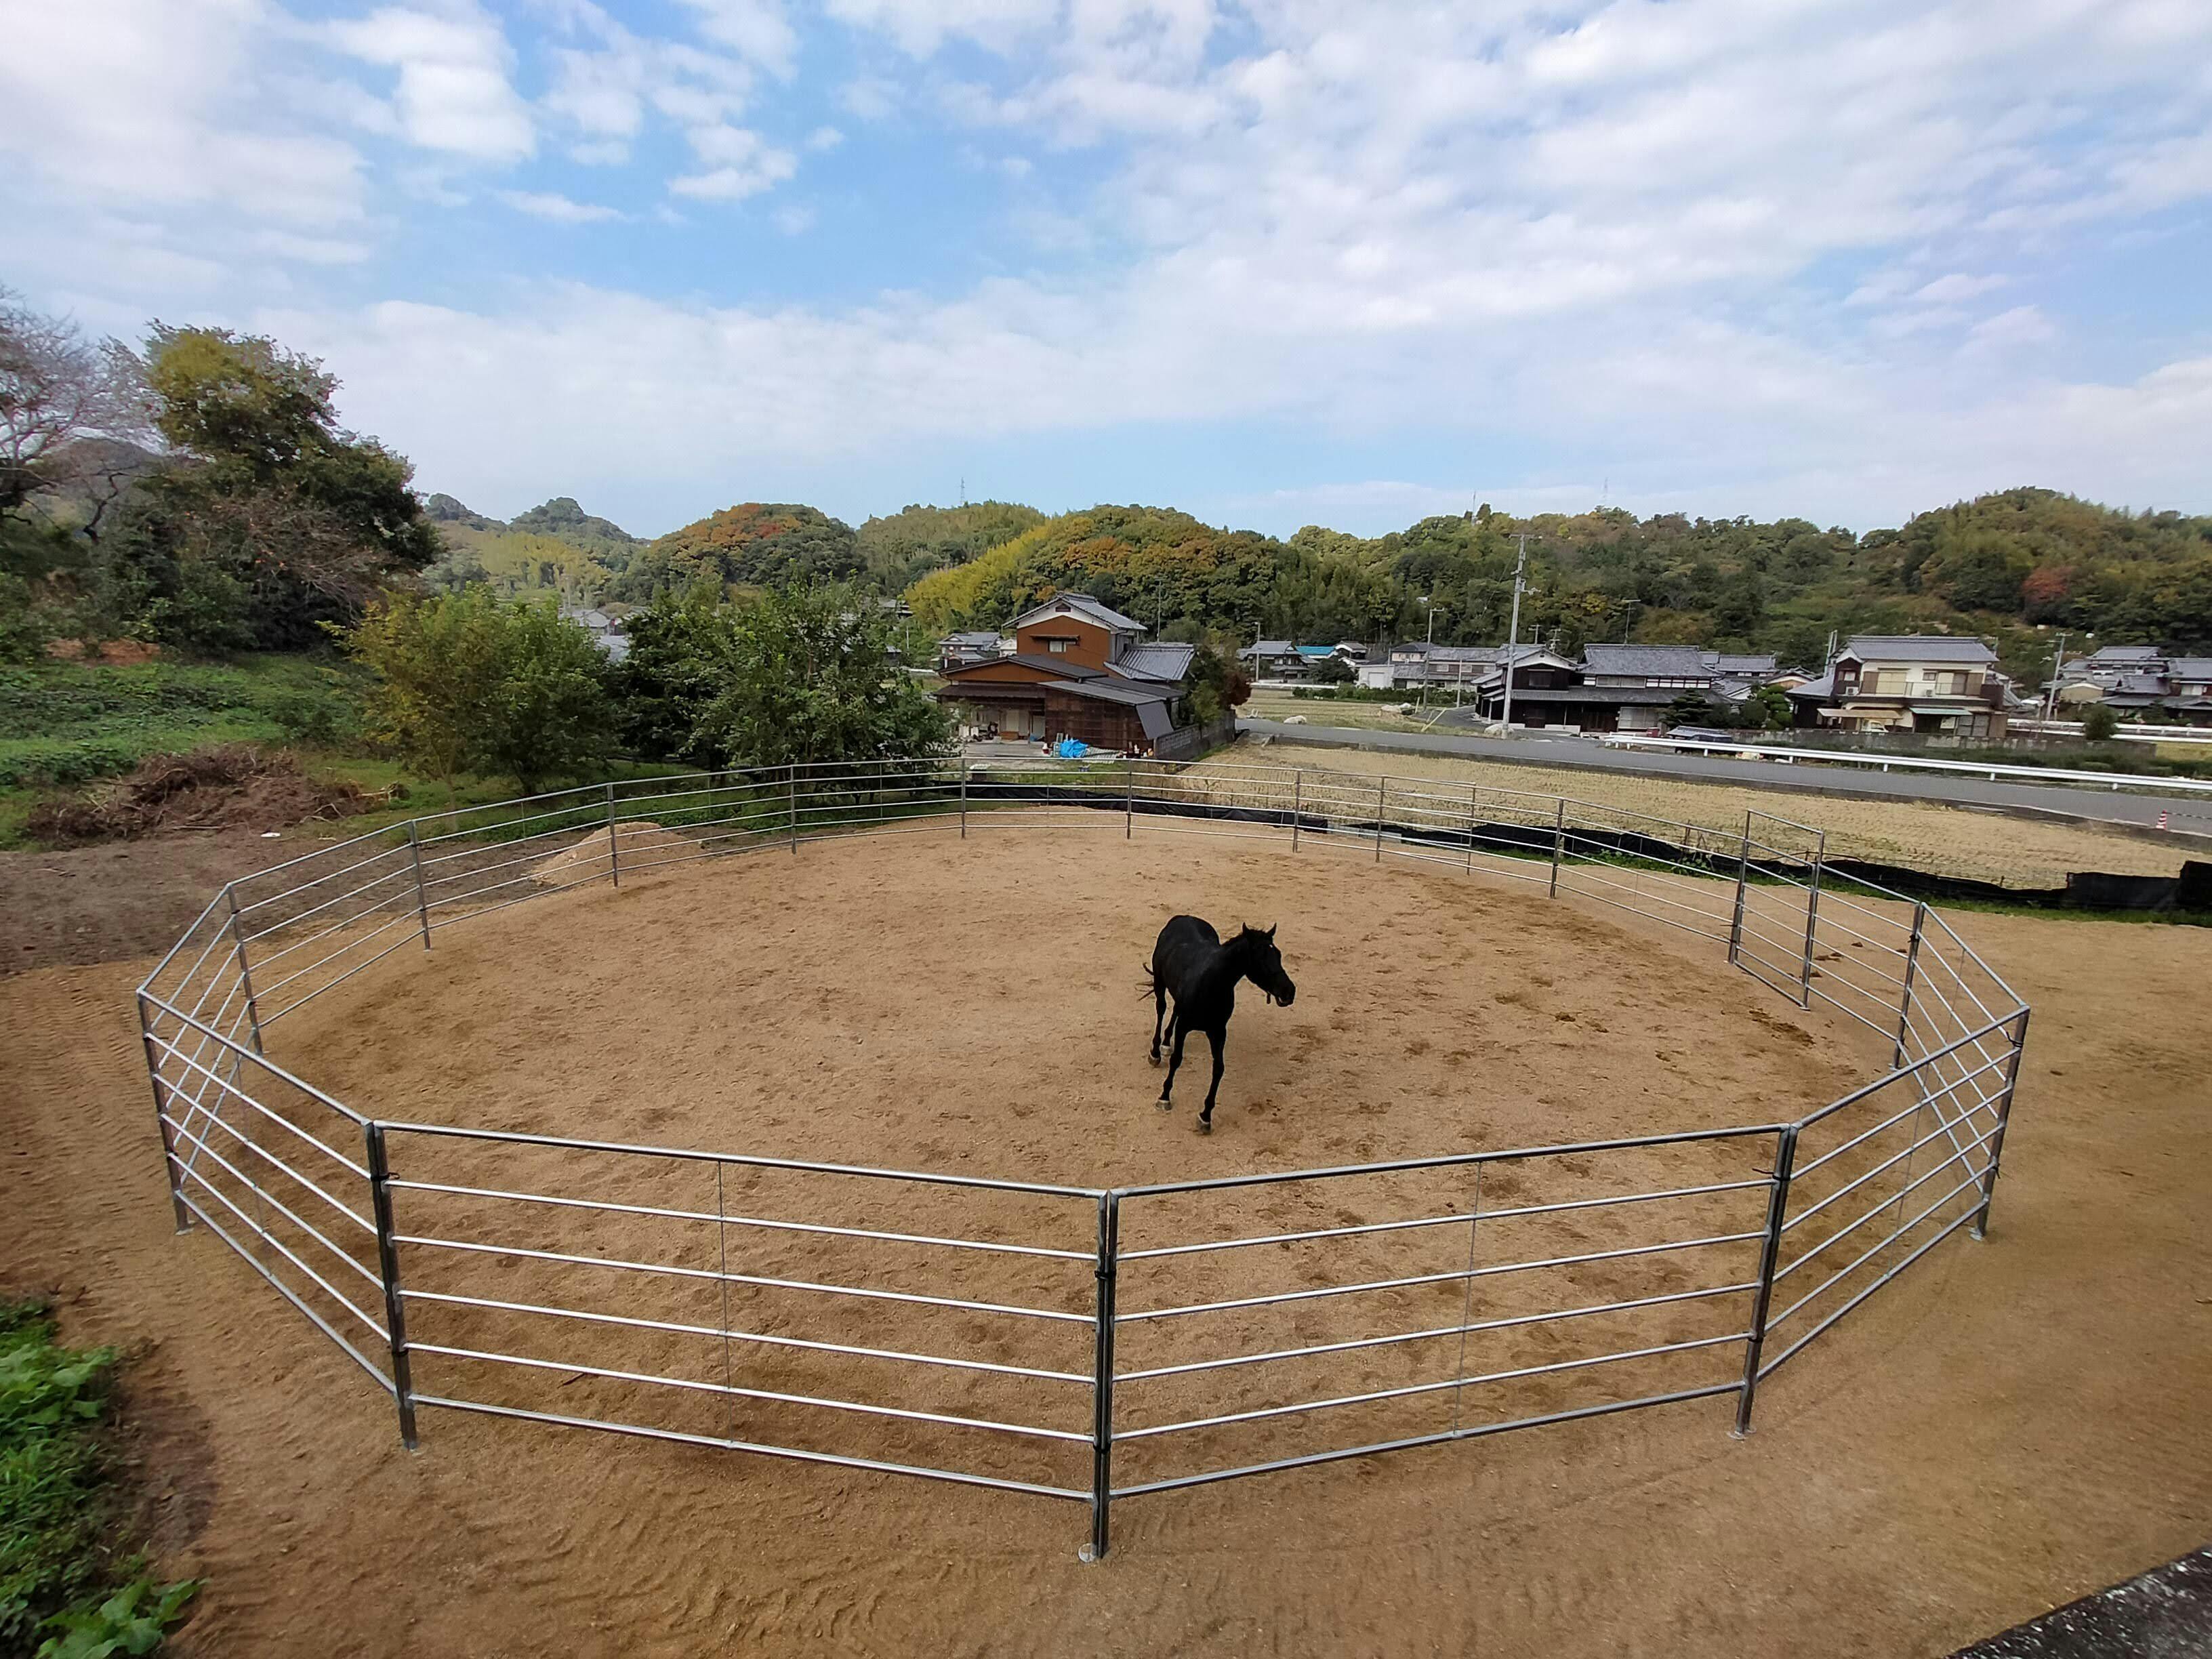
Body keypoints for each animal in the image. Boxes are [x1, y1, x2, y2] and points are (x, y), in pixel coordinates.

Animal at [1146, 916, 1297, 1133]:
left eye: (1278, 954)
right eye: (1261, 957)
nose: (1289, 991)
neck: (1211, 984)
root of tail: (1183, 917)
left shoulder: (1218, 1032)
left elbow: (1218, 1069)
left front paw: (1205, 1116)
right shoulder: (1184, 1026)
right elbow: (1177, 1060)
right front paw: (1164, 1097)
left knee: (1173, 1009)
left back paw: (1166, 1043)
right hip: (1160, 982)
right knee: (1161, 1009)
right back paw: (1156, 1052)